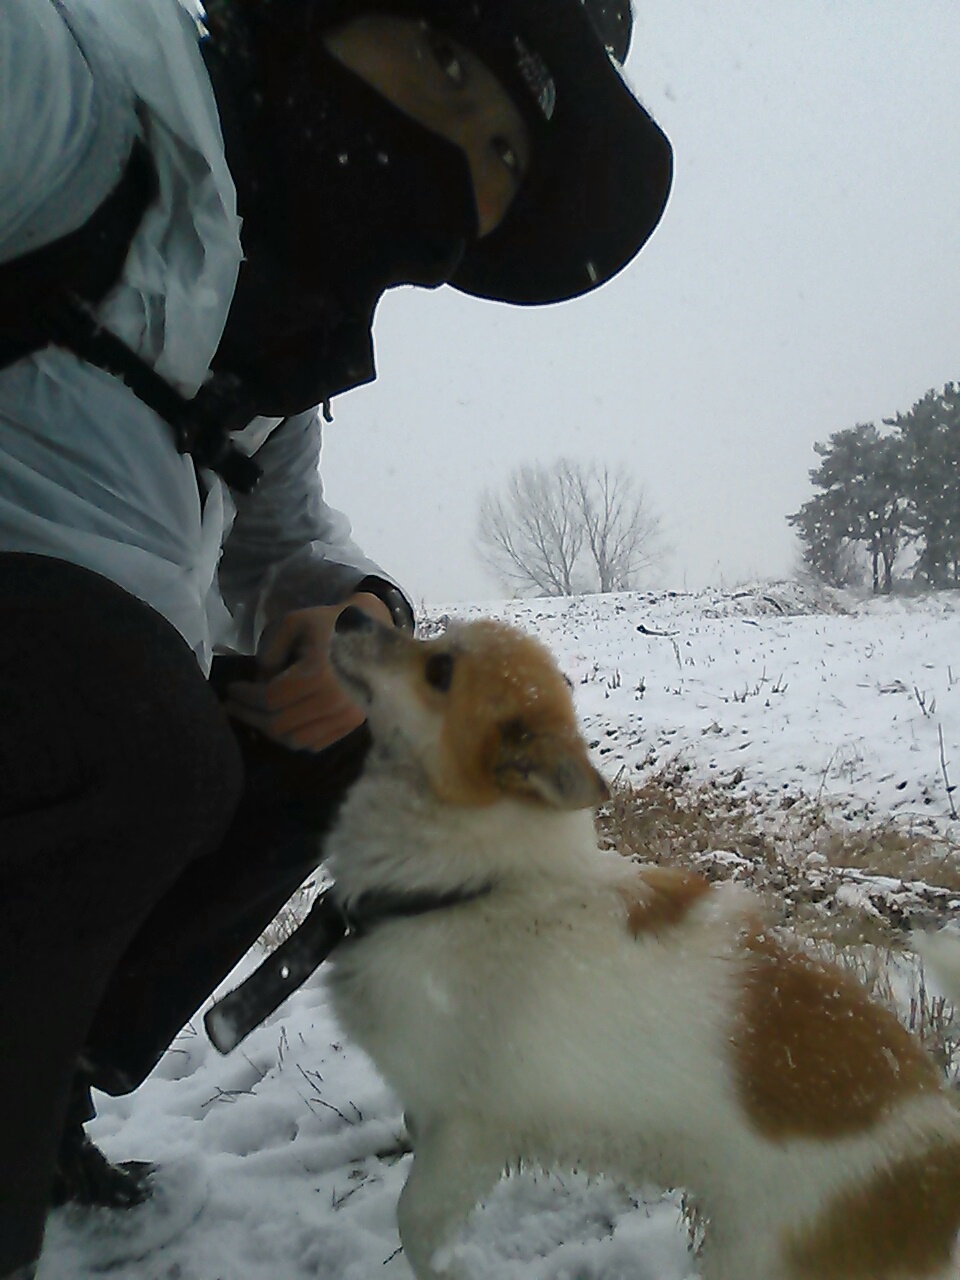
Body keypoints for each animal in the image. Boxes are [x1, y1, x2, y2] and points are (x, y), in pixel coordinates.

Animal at [325, 606, 960, 1280]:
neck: (473, 886)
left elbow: (416, 1224)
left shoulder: (466, 1130)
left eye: (440, 670)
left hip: (755, 1254)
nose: (351, 613)